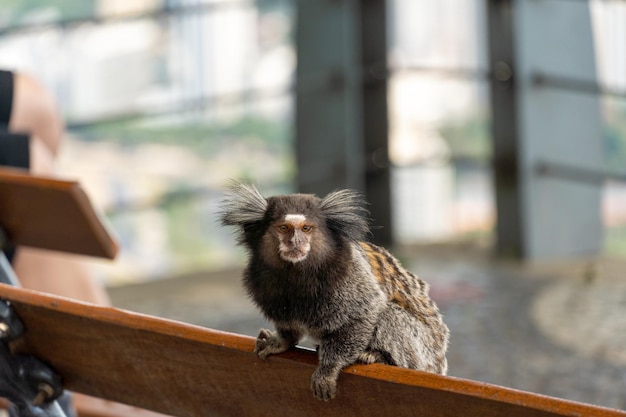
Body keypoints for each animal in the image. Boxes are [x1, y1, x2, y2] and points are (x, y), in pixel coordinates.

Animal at [217, 182, 446, 400]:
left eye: (306, 228)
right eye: (284, 228)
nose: (296, 241)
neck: (296, 275)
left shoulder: (350, 274)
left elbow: (365, 312)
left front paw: (328, 369)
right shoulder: (263, 281)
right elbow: (288, 324)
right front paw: (282, 341)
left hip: (422, 353)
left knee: (389, 314)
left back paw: (377, 355)